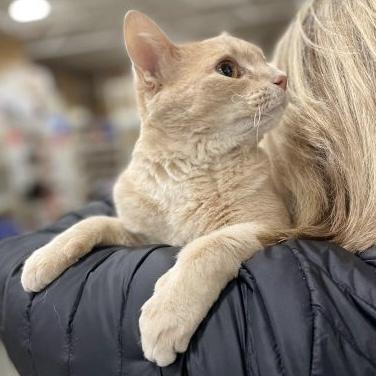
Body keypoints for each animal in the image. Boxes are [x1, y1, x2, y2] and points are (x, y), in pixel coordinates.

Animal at [21, 10, 290, 366]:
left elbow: (207, 246)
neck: (183, 175)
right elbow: (95, 221)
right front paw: (44, 256)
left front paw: (168, 313)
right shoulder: (142, 235)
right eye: (227, 69)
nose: (283, 77)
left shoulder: (272, 224)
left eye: (264, 60)